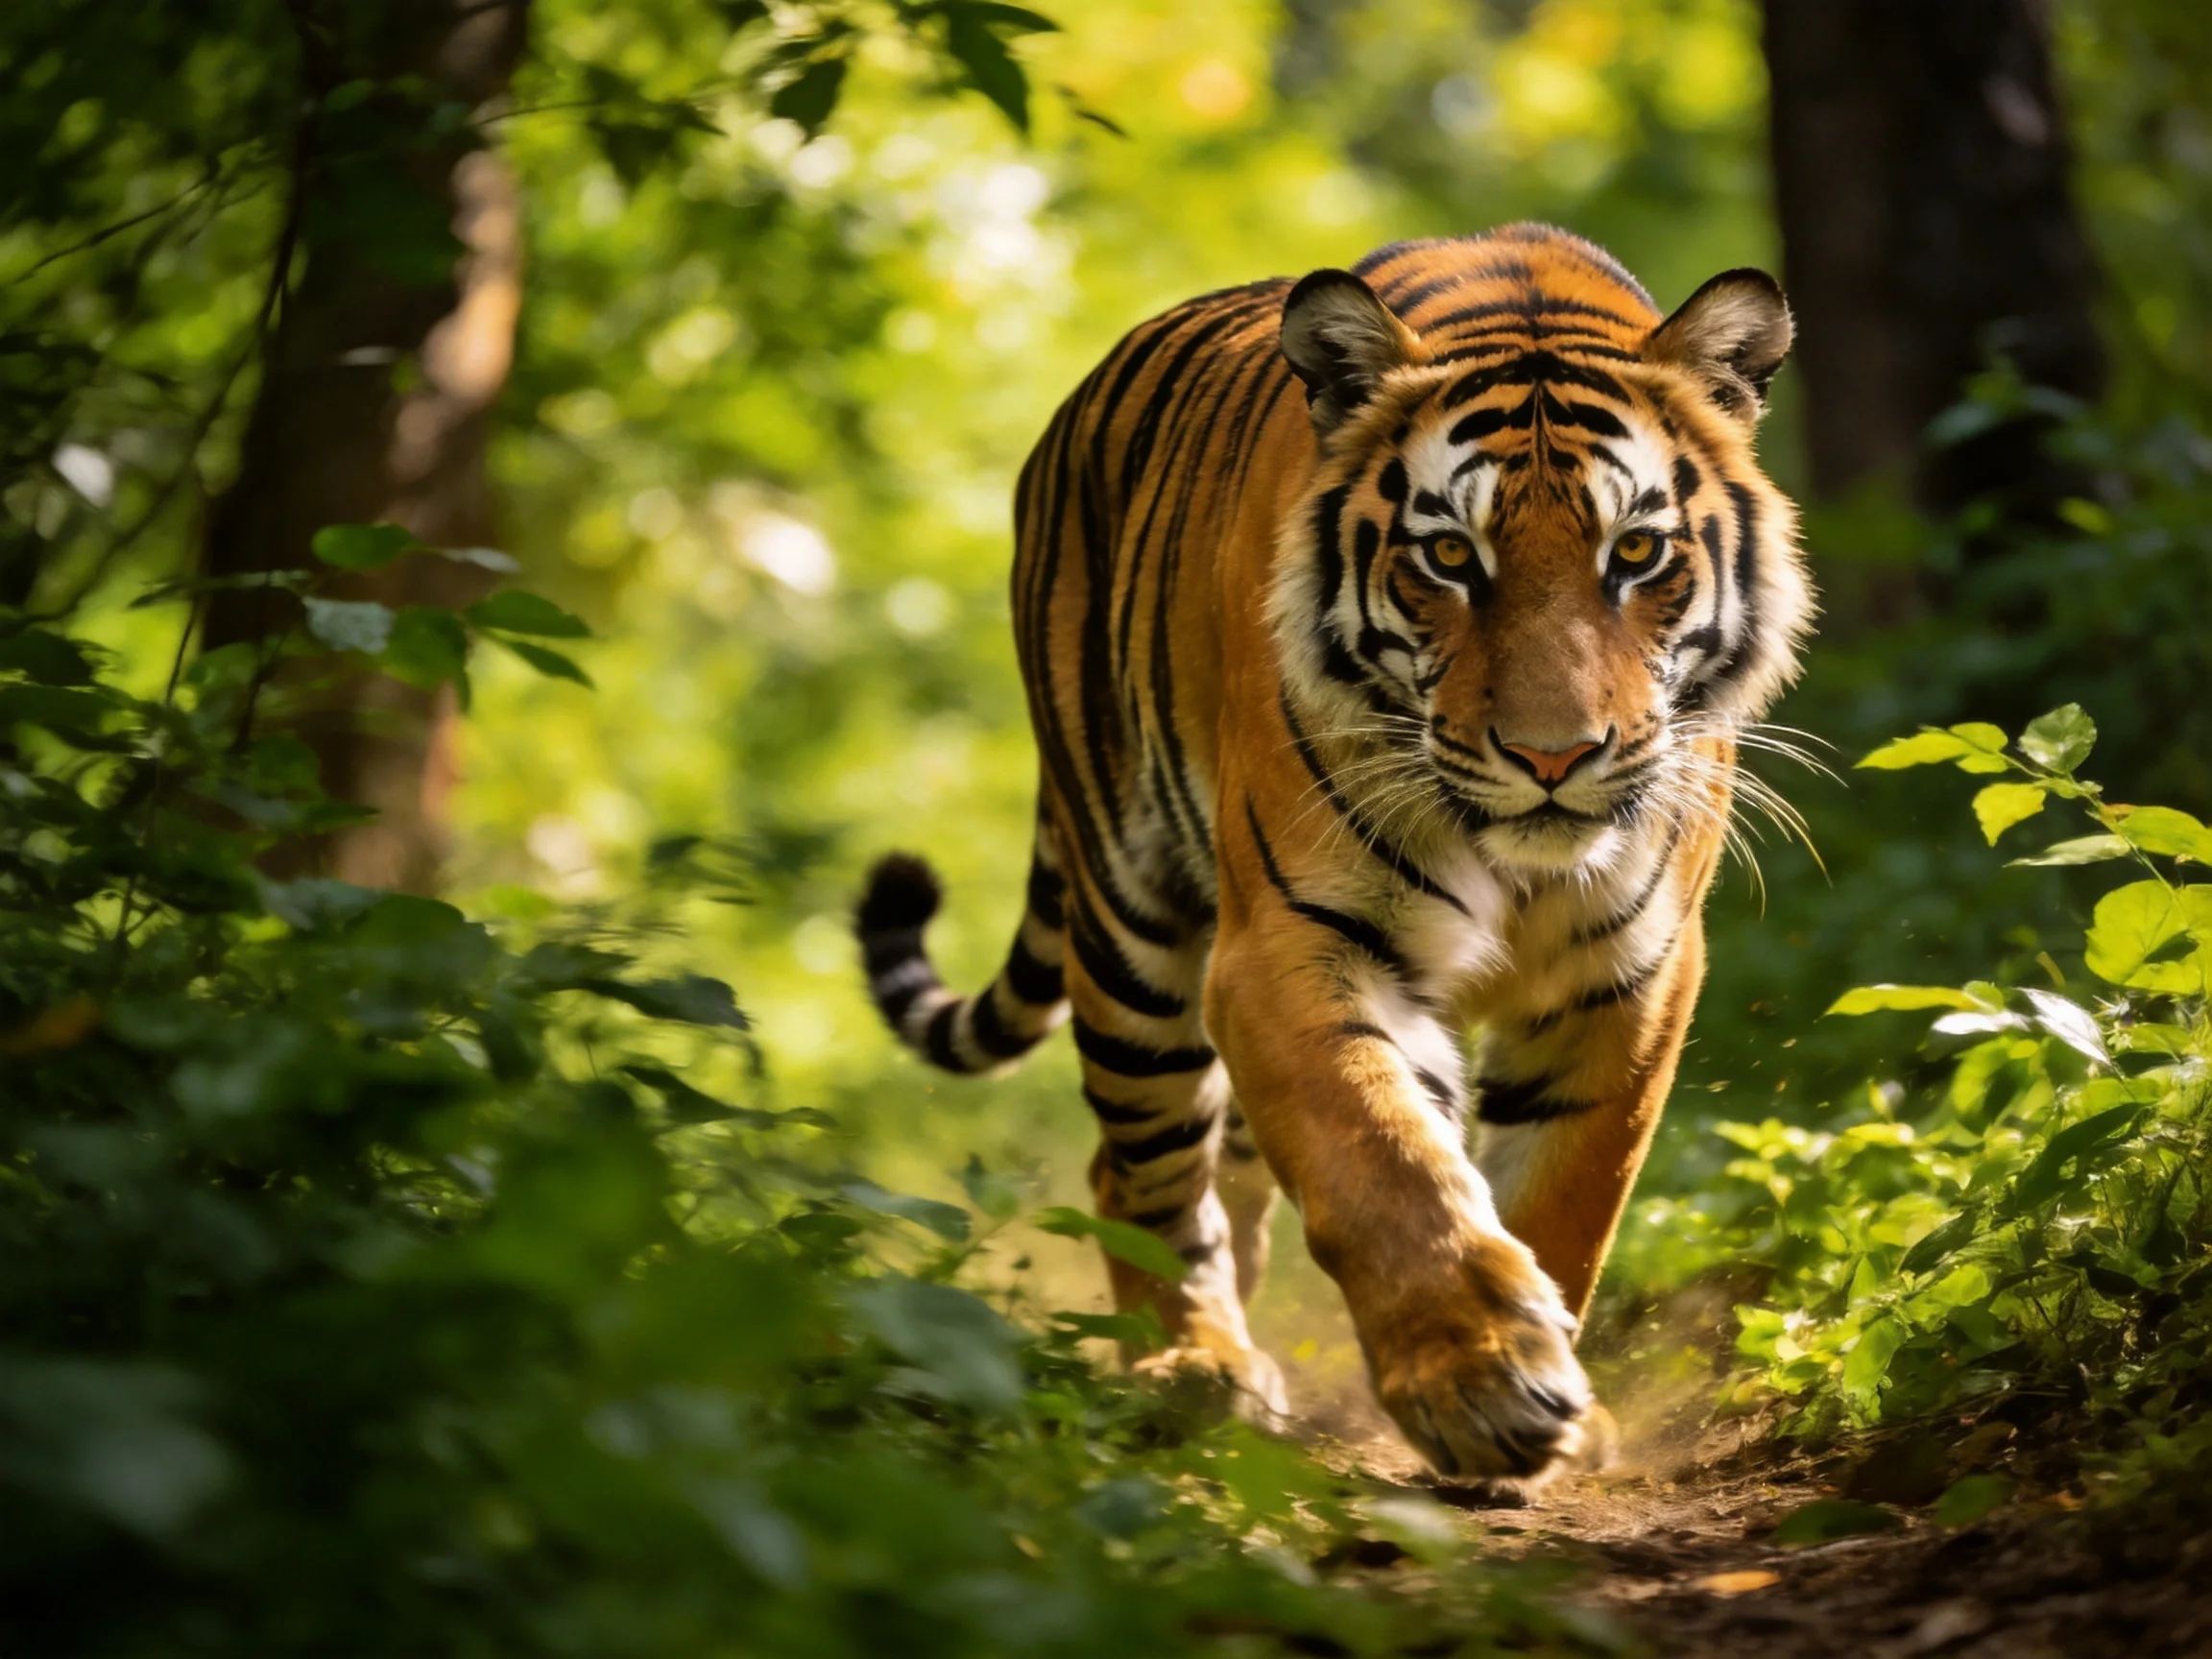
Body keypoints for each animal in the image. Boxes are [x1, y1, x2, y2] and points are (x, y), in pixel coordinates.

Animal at [856, 222, 1809, 1494]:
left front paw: (1557, 1402)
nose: (1554, 756)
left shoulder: (1629, 974)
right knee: (1139, 1172)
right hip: (1132, 923)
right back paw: (1193, 1370)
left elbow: (1566, 1191)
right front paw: (1485, 1387)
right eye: (1450, 556)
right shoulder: (1288, 947)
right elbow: (1381, 1160)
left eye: (1638, 551)